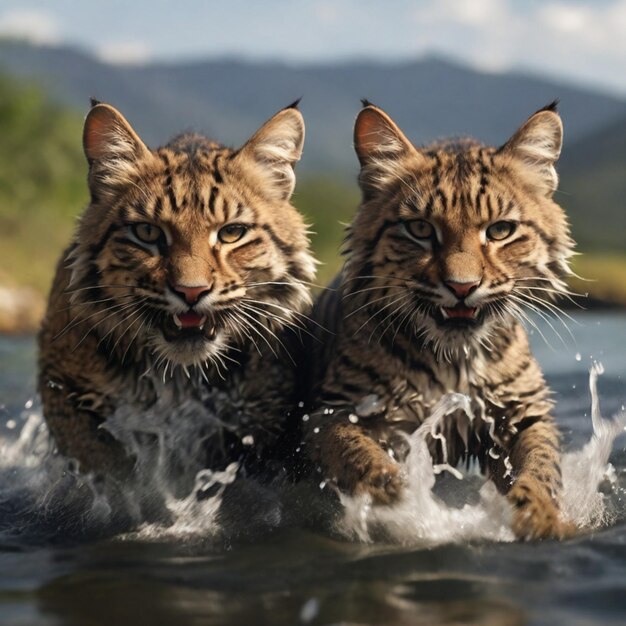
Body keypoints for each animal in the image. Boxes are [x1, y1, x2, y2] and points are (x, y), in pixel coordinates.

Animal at [36, 98, 314, 482]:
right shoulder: (62, 382)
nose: (191, 291)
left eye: (232, 233)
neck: (180, 376)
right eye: (148, 233)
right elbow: (99, 462)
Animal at [304, 101, 572, 536]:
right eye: (419, 228)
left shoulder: (521, 412)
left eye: (500, 230)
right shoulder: (332, 412)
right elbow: (356, 453)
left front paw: (541, 516)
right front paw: (395, 497)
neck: (453, 358)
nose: (462, 287)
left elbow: (540, 464)